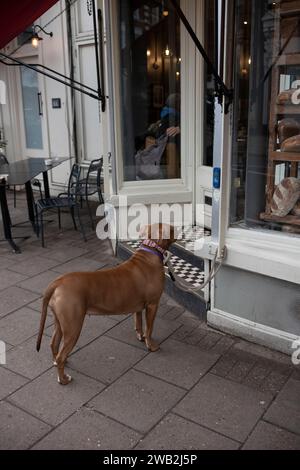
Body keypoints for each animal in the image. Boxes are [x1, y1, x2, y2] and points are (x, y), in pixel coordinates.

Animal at [36, 225, 176, 386]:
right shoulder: (153, 305)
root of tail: (58, 282)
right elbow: (150, 328)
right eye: (172, 228)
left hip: (60, 322)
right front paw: (151, 346)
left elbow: (139, 323)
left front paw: (140, 336)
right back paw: (63, 379)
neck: (151, 249)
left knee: (54, 344)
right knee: (61, 355)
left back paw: (58, 363)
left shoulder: (139, 307)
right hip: (73, 327)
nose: (181, 228)